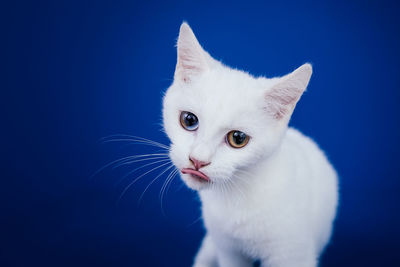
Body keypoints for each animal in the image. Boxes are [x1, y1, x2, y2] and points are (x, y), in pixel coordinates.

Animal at [162, 23, 338, 267]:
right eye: (189, 120)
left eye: (238, 139)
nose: (198, 160)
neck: (237, 195)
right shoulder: (228, 250)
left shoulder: (293, 254)